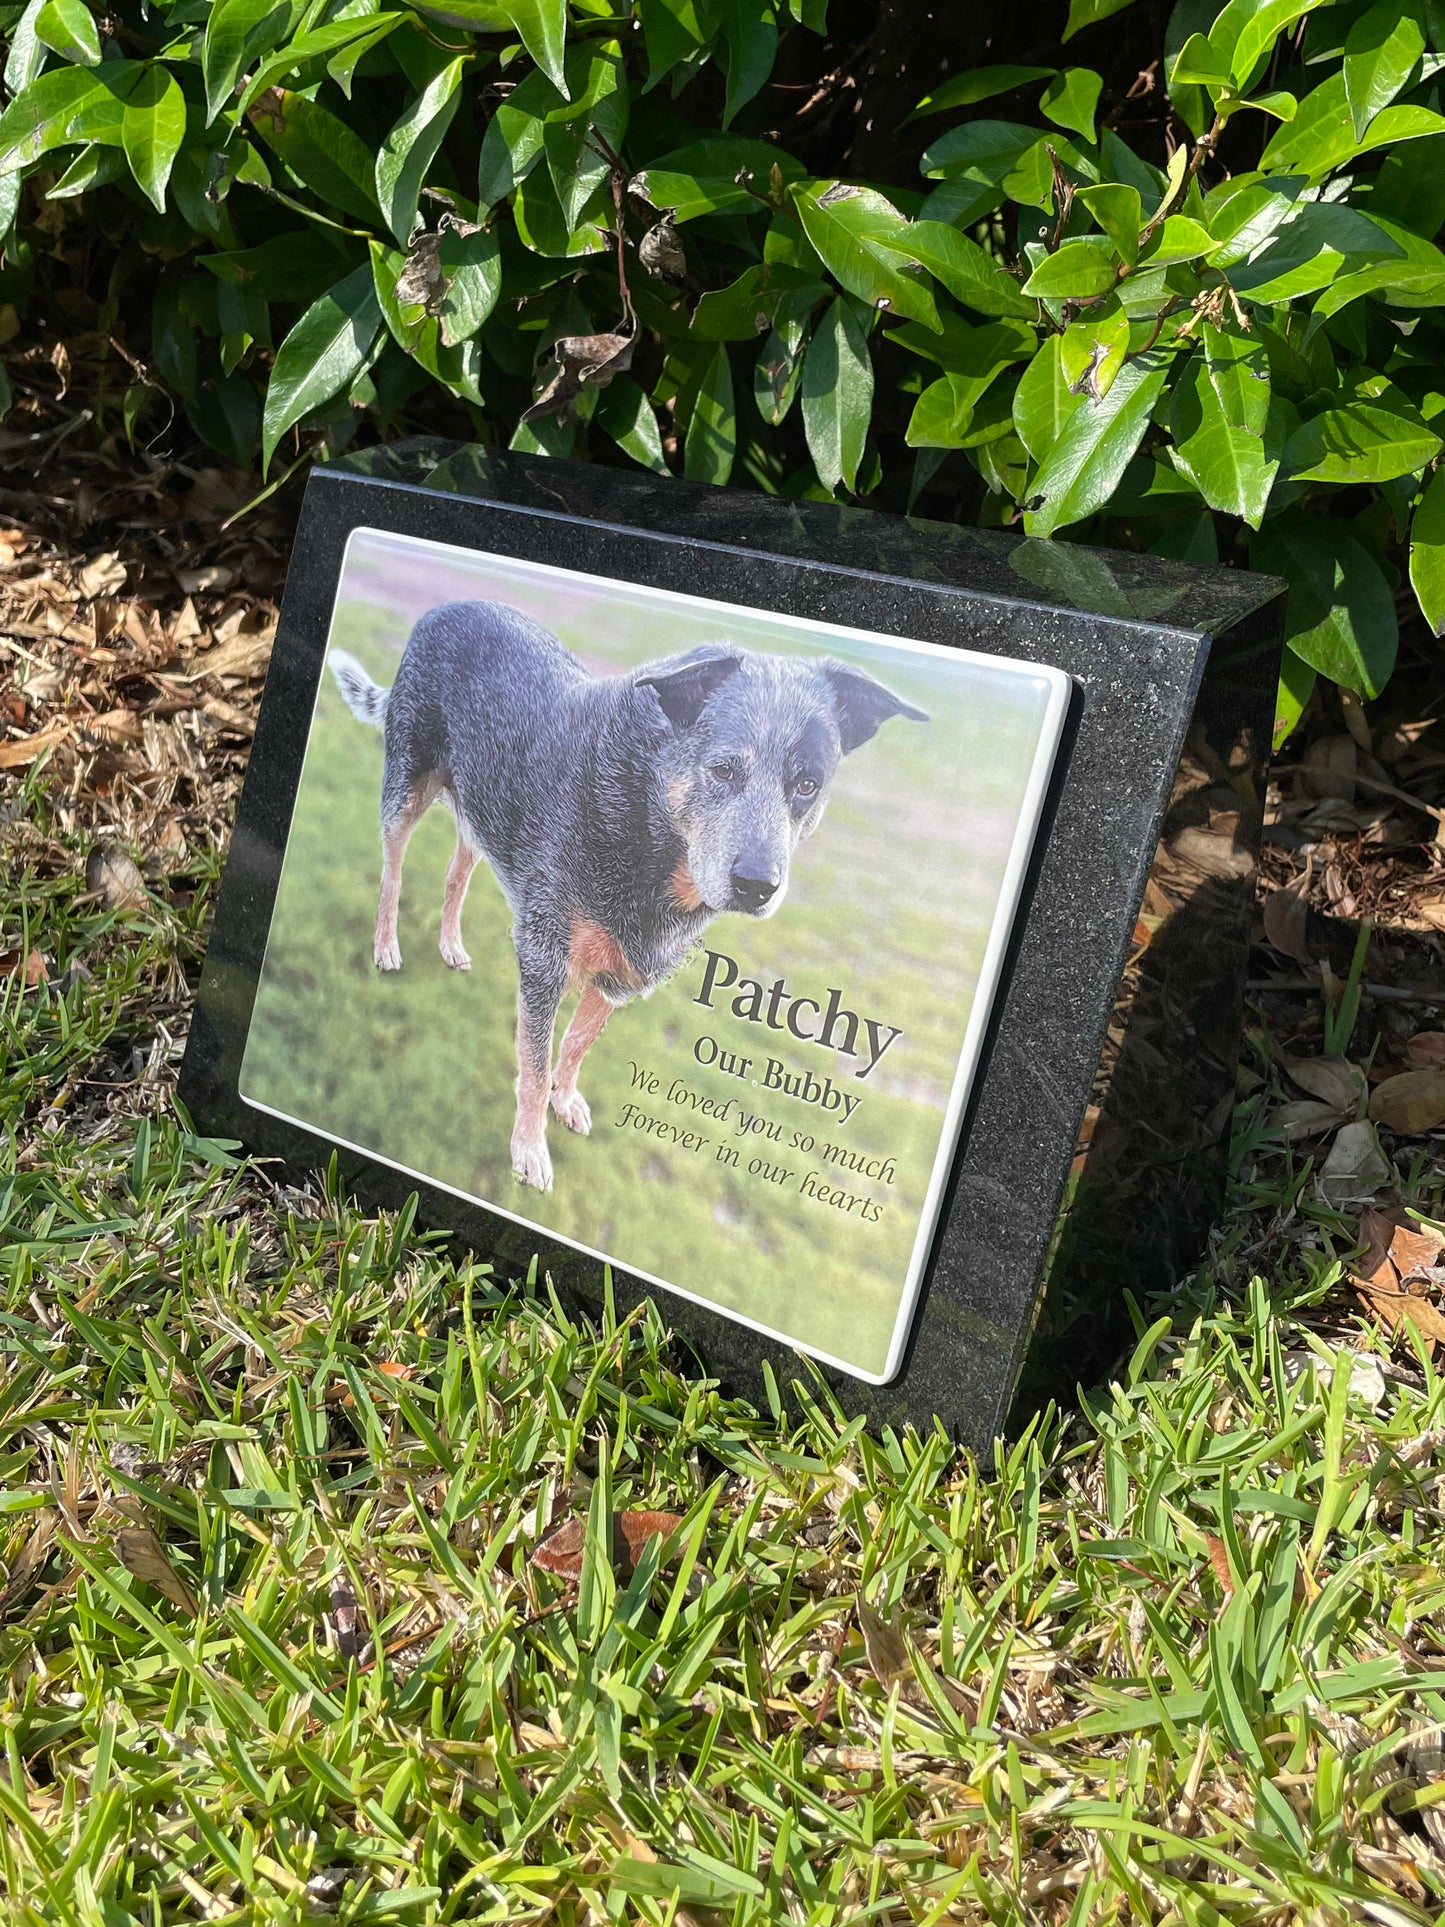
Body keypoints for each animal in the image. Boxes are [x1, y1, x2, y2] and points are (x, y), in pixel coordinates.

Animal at [331, 597, 928, 1187]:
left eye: (807, 784)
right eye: (723, 769)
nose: (757, 885)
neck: (645, 826)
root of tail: (448, 606)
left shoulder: (625, 973)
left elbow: (575, 1044)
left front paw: (564, 1099)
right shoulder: (543, 957)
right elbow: (534, 1064)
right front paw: (529, 1149)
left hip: (484, 807)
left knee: (456, 875)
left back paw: (451, 945)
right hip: (407, 787)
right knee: (392, 872)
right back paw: (385, 946)